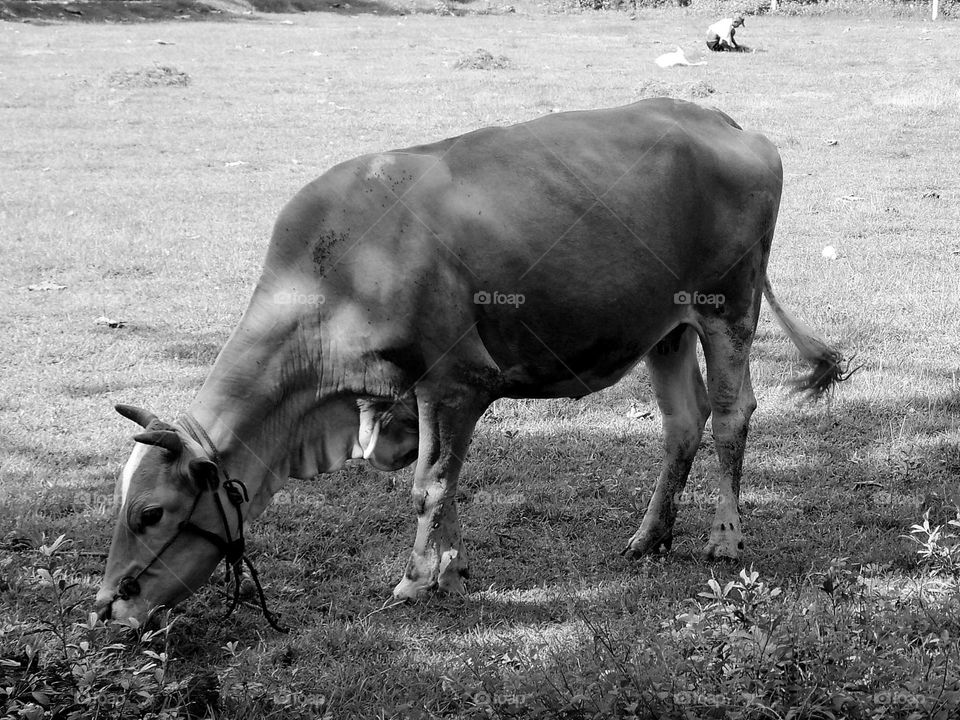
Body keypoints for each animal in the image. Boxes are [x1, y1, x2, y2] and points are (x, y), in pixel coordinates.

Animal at [96, 98, 849, 626]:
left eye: (151, 513)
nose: (108, 607)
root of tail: (718, 118)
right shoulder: (409, 395)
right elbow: (446, 482)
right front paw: (449, 574)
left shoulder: (455, 380)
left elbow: (430, 484)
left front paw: (413, 580)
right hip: (666, 328)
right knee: (682, 425)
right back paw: (648, 536)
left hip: (729, 306)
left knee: (730, 416)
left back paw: (725, 538)